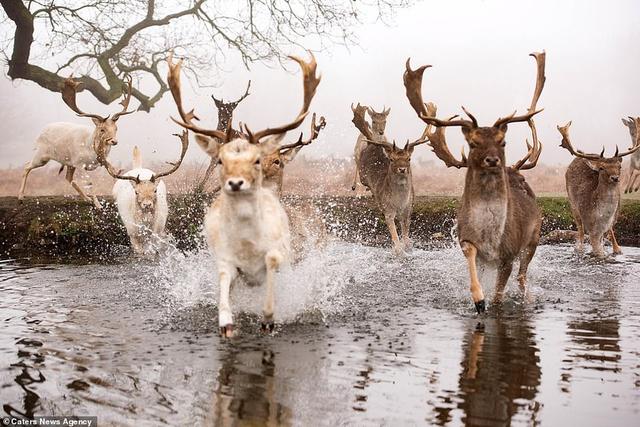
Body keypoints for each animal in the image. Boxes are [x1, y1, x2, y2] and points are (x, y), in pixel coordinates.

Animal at [17, 77, 135, 211]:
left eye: (116, 128)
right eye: (102, 129)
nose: (114, 141)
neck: (91, 151)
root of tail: (40, 133)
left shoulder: (92, 162)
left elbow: (113, 174)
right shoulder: (79, 163)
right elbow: (89, 182)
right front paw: (98, 205)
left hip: (68, 162)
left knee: (68, 178)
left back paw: (87, 198)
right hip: (42, 155)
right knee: (27, 166)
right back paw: (20, 197)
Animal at [350, 102, 430, 256]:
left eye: (409, 158)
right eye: (392, 159)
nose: (402, 169)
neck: (399, 202)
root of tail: (372, 144)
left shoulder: (409, 209)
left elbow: (406, 238)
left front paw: (408, 245)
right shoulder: (388, 210)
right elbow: (397, 241)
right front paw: (397, 249)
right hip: (362, 173)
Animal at [404, 52, 544, 314]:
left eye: (503, 141)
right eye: (473, 142)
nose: (492, 160)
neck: (490, 236)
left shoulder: (508, 254)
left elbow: (499, 295)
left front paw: (492, 303)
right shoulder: (468, 241)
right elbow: (471, 257)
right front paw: (479, 299)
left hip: (534, 238)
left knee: (523, 276)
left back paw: (528, 299)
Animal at [556, 118, 640, 258]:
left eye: (619, 166)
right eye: (601, 168)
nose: (615, 178)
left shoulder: (609, 222)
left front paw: (615, 251)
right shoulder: (591, 226)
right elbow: (597, 250)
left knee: (610, 232)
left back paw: (617, 249)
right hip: (573, 204)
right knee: (580, 229)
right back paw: (579, 248)